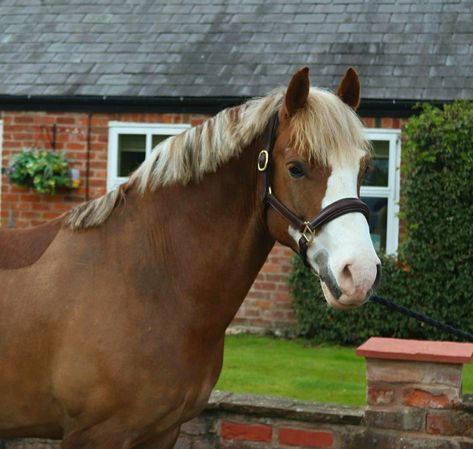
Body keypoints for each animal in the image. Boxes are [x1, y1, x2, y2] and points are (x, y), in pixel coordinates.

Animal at [0, 67, 378, 448]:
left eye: (364, 169)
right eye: (296, 168)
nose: (359, 274)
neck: (147, 276)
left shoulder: (162, 431)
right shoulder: (96, 434)